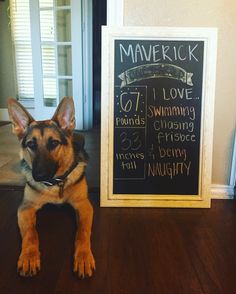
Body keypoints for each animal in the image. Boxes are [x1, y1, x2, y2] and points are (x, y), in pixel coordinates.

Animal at [7, 97, 95, 278]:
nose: (39, 175)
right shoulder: (26, 208)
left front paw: (83, 257)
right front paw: (29, 256)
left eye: (54, 143)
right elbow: (31, 233)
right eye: (31, 145)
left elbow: (82, 232)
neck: (55, 184)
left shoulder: (84, 205)